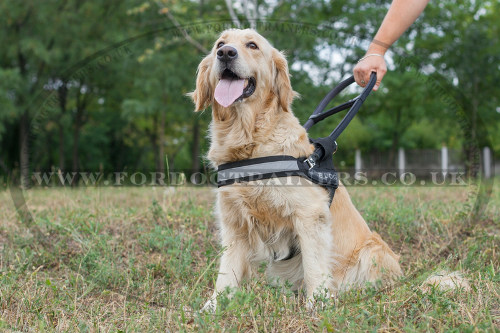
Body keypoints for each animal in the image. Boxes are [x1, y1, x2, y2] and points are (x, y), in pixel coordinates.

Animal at [188, 27, 402, 310]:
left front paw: (317, 306)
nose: (226, 53)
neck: (250, 140)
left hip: (373, 250)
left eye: (252, 45)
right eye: (219, 44)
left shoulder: (309, 215)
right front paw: (211, 309)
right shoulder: (234, 223)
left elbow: (314, 267)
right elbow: (226, 273)